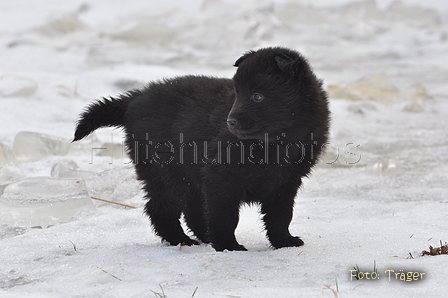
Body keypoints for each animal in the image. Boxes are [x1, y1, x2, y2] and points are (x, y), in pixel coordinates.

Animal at [74, 47, 328, 251]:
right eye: (237, 94)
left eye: (258, 96)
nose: (230, 122)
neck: (273, 143)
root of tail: (134, 99)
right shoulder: (221, 176)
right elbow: (225, 216)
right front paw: (227, 246)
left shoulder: (286, 182)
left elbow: (281, 216)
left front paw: (284, 242)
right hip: (164, 170)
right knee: (162, 208)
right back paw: (182, 240)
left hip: (187, 175)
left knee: (192, 209)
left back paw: (203, 237)